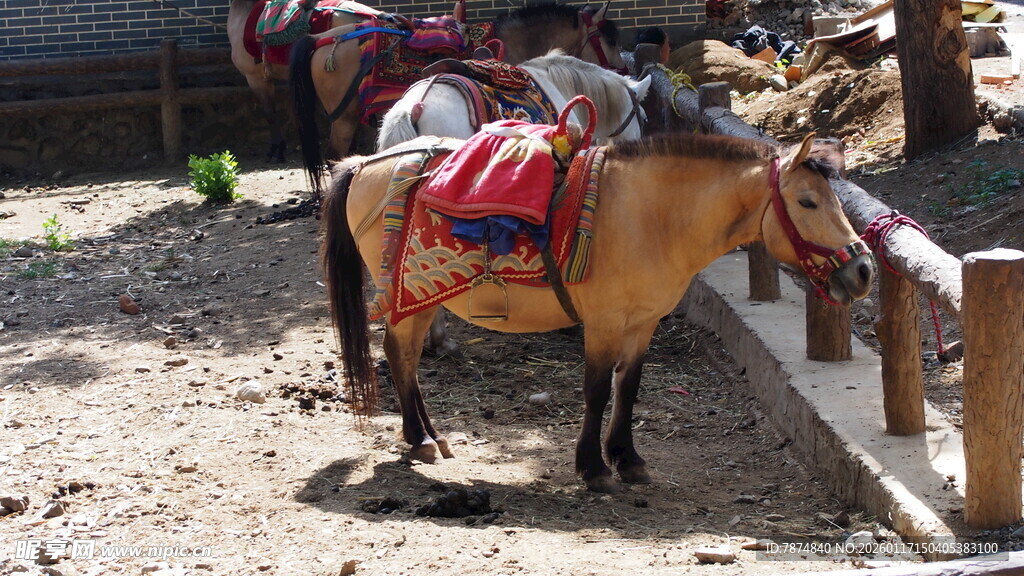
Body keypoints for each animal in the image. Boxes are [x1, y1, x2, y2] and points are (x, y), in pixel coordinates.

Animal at [319, 130, 875, 493]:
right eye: (807, 202)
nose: (864, 270)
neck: (650, 214)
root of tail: (366, 163)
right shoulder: (604, 324)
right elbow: (596, 390)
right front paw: (593, 468)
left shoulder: (643, 323)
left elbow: (627, 389)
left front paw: (628, 459)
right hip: (406, 301)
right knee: (400, 355)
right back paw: (419, 440)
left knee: (408, 360)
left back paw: (433, 435)